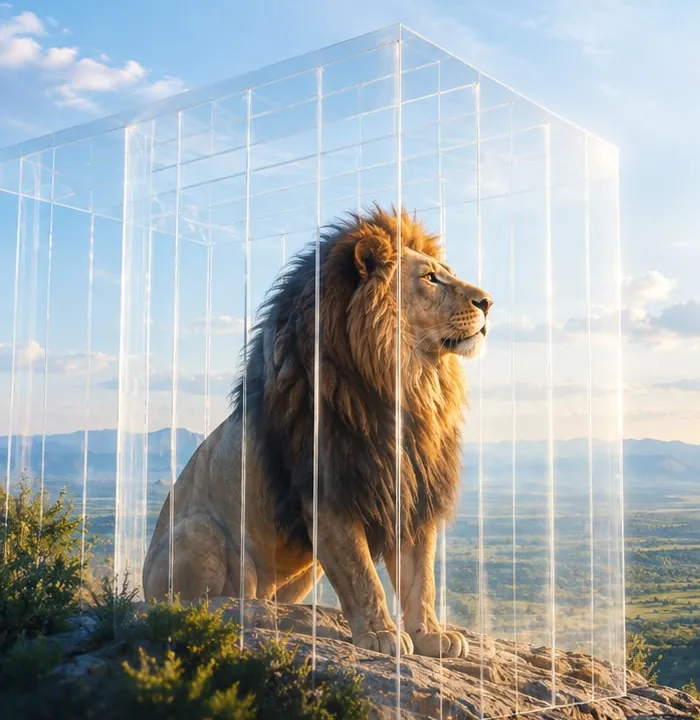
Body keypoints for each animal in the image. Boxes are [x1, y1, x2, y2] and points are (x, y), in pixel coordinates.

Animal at [143, 205, 492, 660]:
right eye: (431, 278)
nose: (488, 302)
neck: (411, 381)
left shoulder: (413, 490)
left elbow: (421, 577)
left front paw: (432, 634)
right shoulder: (329, 492)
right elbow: (362, 575)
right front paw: (381, 634)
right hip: (200, 532)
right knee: (188, 604)